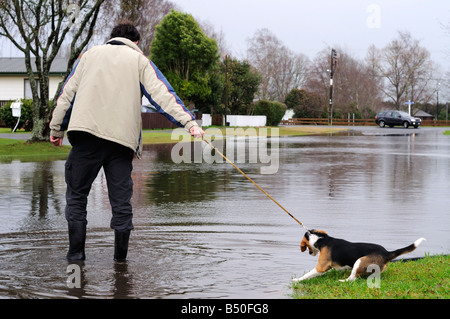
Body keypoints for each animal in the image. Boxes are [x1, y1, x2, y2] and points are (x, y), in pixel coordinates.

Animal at [292, 230, 426, 282]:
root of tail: (386, 253)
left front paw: (297, 280)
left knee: (352, 279)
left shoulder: (321, 267)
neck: (322, 240)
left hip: (359, 261)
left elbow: (307, 275)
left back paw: (342, 280)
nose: (309, 253)